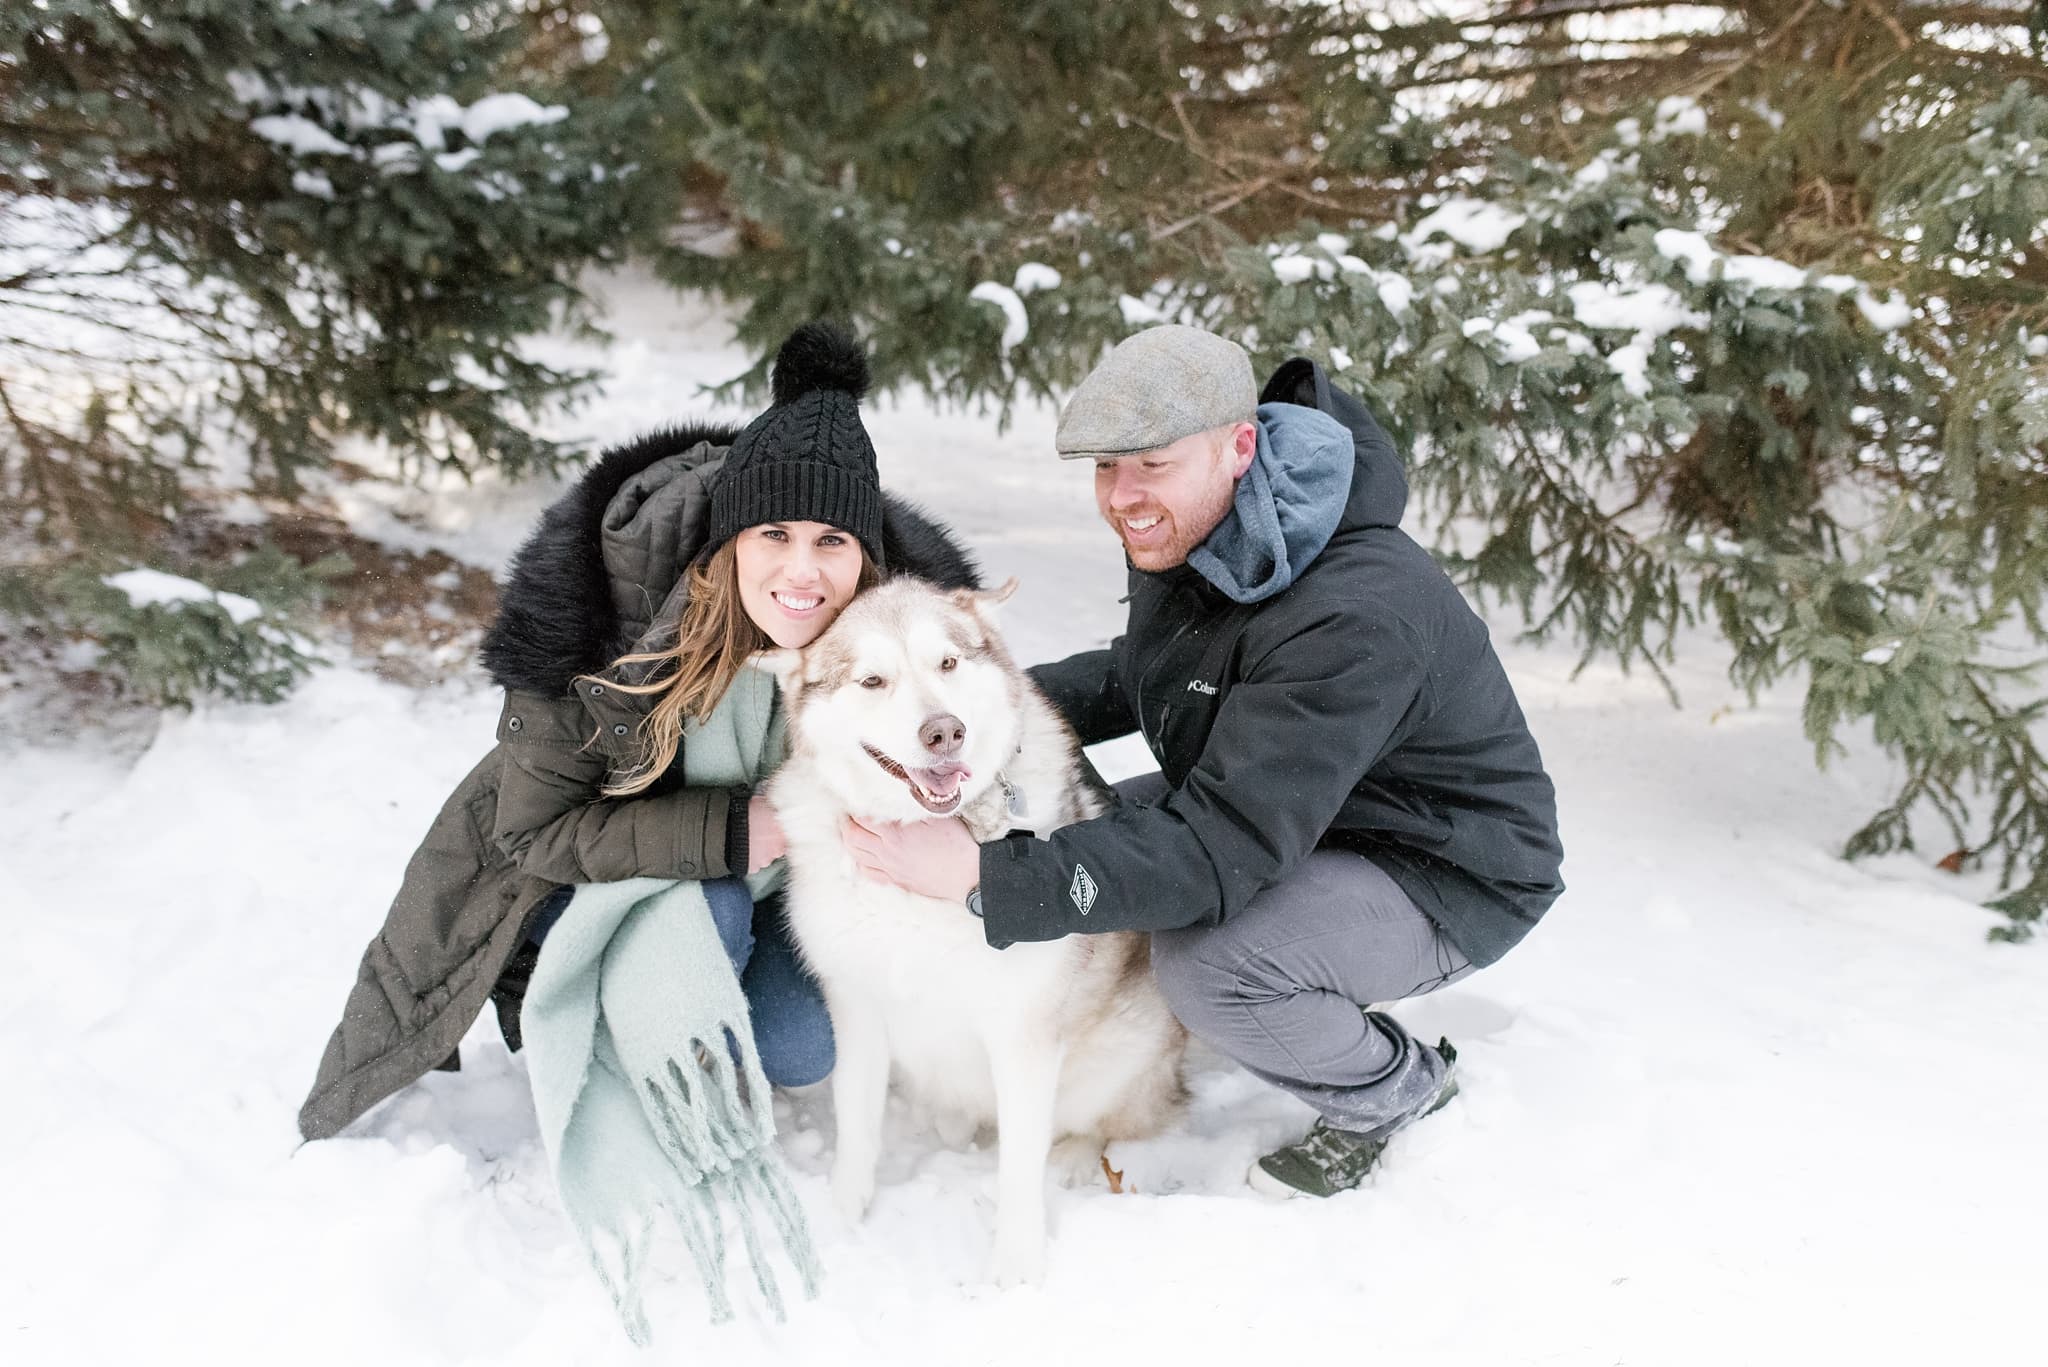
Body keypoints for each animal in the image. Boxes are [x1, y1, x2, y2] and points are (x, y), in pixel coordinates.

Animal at [765, 582, 1187, 1287]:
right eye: (872, 680)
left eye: (948, 664)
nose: (944, 731)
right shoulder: (856, 1010)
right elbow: (857, 1127)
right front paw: (845, 1216)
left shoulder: (1022, 1035)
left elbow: (1019, 1167)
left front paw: (1015, 1269)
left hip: (1123, 1049)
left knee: (1112, 1124)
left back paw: (1071, 1158)